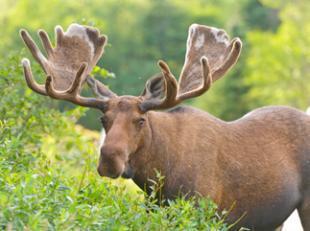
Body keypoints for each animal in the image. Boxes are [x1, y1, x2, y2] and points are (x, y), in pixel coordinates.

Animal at [20, 22, 308, 230]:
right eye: (103, 119)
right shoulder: (155, 208)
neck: (160, 174)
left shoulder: (204, 209)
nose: (109, 159)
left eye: (141, 120)